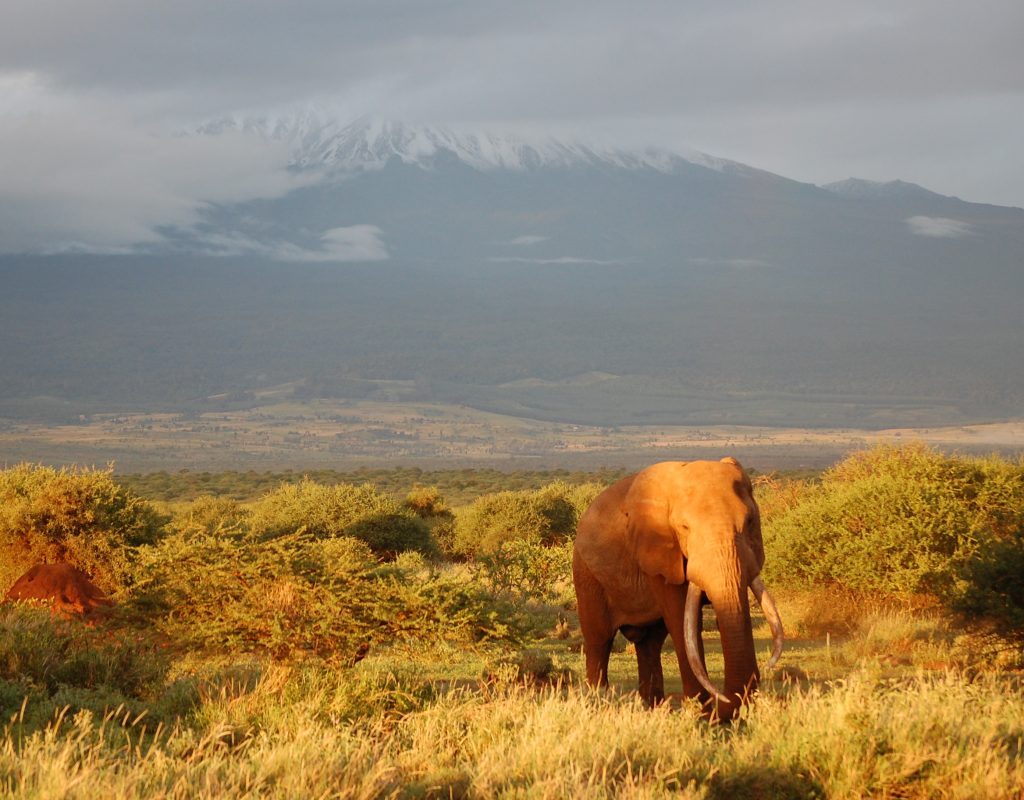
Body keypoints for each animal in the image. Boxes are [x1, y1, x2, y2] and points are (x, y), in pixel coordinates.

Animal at [569, 454, 782, 717]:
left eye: (750, 521)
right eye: (684, 528)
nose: (721, 701)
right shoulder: (658, 552)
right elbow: (682, 619)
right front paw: (701, 712)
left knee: (649, 644)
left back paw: (652, 709)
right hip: (586, 573)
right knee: (599, 639)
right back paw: (598, 702)